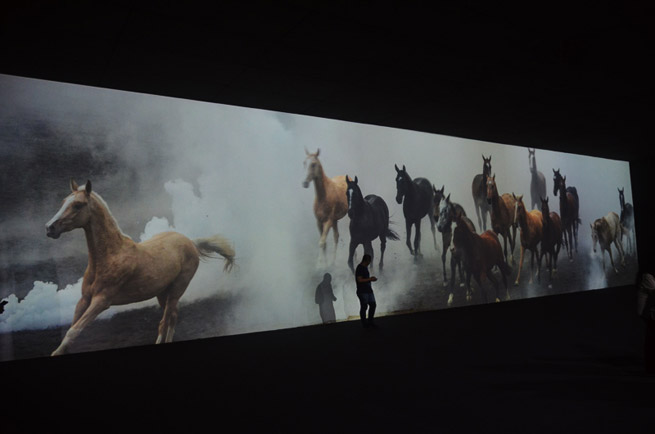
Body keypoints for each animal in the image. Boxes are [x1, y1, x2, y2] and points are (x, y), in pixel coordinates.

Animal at [45, 179, 235, 356]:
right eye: (63, 201)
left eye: (78, 205)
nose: (49, 228)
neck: (110, 256)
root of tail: (191, 242)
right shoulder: (84, 299)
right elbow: (70, 331)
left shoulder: (101, 301)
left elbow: (73, 331)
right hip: (163, 293)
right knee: (172, 318)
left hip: (177, 289)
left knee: (163, 323)